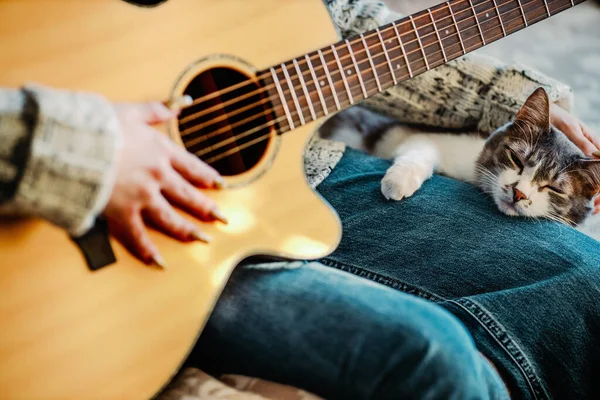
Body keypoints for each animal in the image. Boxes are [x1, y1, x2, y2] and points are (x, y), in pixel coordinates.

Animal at [322, 88, 600, 228]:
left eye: (554, 188)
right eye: (516, 159)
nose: (519, 193)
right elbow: (420, 150)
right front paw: (399, 181)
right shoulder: (420, 134)